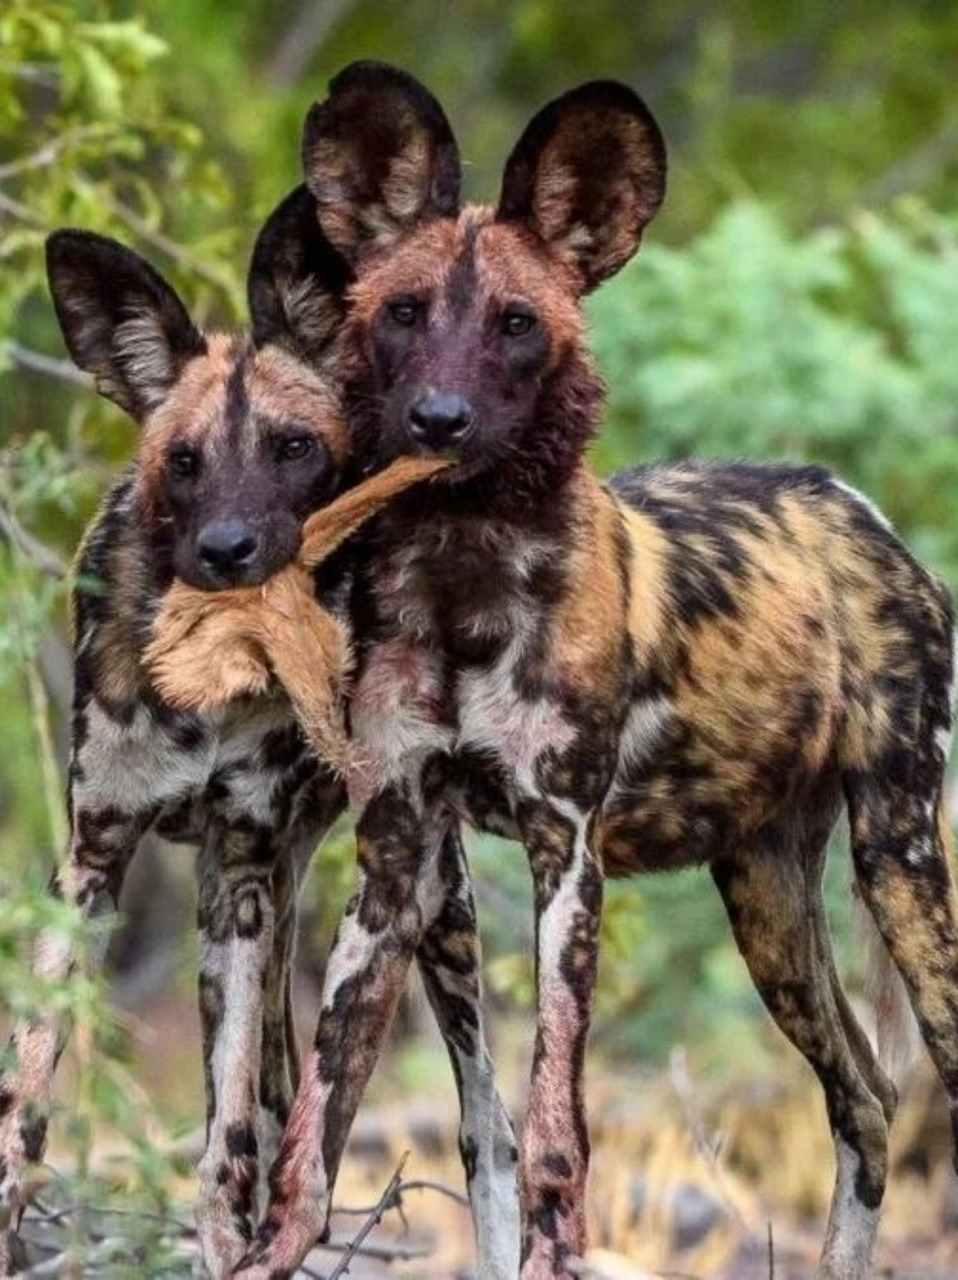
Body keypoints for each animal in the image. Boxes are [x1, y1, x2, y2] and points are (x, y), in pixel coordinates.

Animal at [0, 189, 525, 1280]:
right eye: (183, 461)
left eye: (292, 448)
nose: (226, 550)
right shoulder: (95, 863)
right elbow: (24, 1108)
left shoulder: (242, 868)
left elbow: (223, 1153)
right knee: (284, 1097)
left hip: (426, 905)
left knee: (482, 1123)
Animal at [227, 64, 957, 1280]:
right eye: (404, 313)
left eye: (516, 324)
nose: (439, 419)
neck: (463, 570)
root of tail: (856, 506)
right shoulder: (395, 854)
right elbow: (310, 1137)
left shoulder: (564, 848)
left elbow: (555, 1140)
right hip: (766, 899)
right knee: (863, 1096)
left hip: (899, 860)